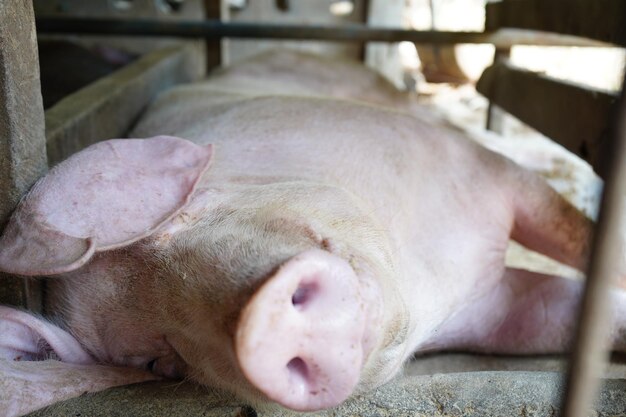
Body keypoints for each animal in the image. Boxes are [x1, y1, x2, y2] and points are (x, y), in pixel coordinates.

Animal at [0, 50, 620, 414]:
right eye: (160, 360)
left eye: (190, 210)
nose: (262, 327)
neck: (435, 283)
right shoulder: (501, 310)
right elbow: (578, 315)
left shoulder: (482, 172)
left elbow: (587, 242)